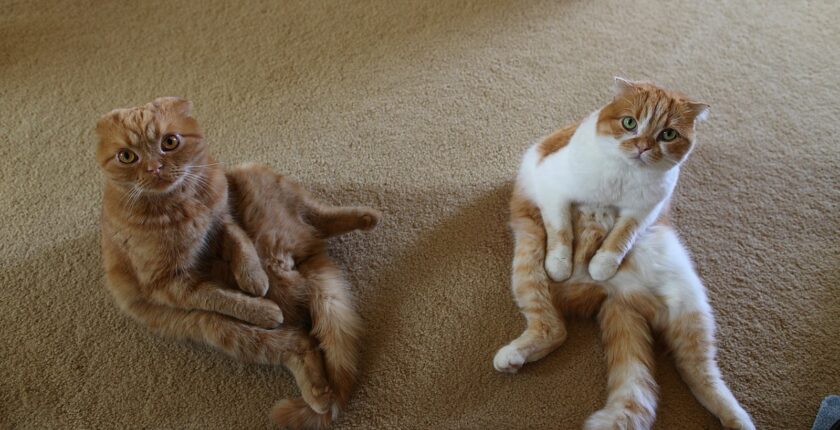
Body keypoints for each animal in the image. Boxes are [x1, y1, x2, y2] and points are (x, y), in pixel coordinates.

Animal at [93, 98, 378, 430]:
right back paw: (319, 393)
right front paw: (262, 307)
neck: (180, 206)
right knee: (301, 341)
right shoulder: (170, 284)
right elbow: (222, 297)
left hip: (256, 176)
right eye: (127, 156)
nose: (154, 168)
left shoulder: (223, 215)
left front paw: (253, 279)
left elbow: (239, 242)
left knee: (318, 217)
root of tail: (305, 257)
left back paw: (368, 217)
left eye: (169, 142)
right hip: (223, 330)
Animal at [492, 80, 756, 430]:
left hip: (690, 312)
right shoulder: (554, 191)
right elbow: (561, 231)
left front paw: (602, 264)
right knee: (552, 327)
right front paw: (561, 263)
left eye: (667, 134)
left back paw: (739, 420)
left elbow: (619, 238)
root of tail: (612, 296)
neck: (623, 178)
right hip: (529, 259)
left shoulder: (643, 211)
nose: (643, 147)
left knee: (703, 377)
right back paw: (513, 357)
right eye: (629, 123)